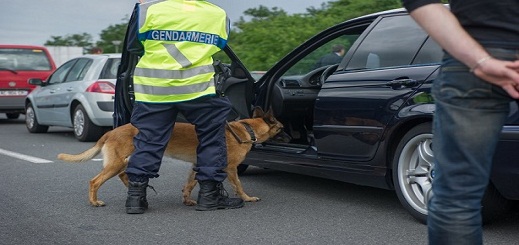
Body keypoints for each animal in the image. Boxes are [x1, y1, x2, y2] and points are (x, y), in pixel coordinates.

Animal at [59, 107, 290, 207]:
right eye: (282, 128)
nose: (293, 136)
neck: (246, 129)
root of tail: (110, 132)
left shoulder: (197, 165)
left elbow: (190, 184)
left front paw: (187, 200)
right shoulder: (231, 168)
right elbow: (239, 186)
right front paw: (247, 198)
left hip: (125, 161)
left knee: (125, 175)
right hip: (116, 163)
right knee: (95, 181)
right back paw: (94, 202)